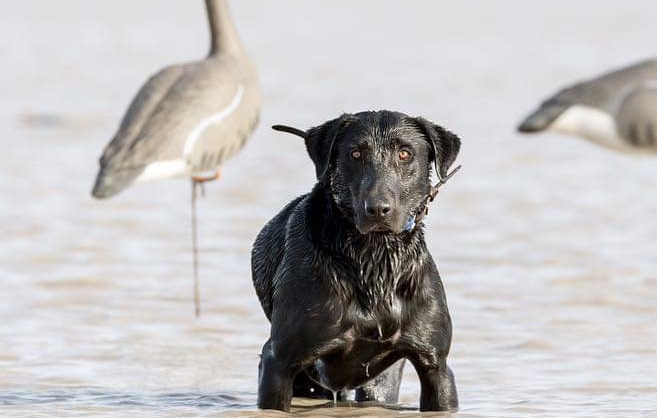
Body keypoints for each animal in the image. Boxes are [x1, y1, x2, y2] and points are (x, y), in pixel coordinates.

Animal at [251, 110, 462, 412]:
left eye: (405, 154)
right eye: (355, 154)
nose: (378, 209)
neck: (375, 260)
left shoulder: (435, 365)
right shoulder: (278, 361)